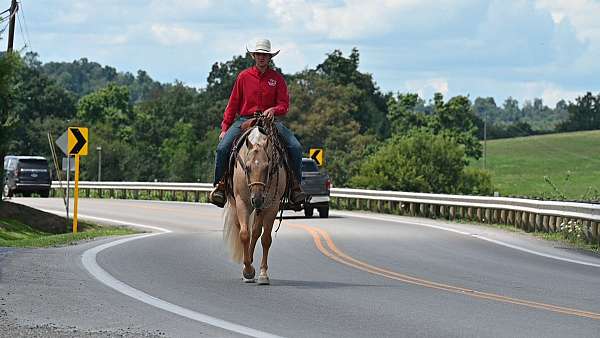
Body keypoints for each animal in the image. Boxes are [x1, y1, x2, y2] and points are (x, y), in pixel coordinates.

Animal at [223, 119, 288, 286]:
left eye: (267, 167)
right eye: (246, 167)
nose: (257, 198)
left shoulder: (272, 205)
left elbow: (265, 239)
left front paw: (263, 274)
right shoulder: (242, 203)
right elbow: (244, 234)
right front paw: (247, 271)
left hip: (262, 208)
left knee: (257, 231)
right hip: (237, 204)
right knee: (244, 229)